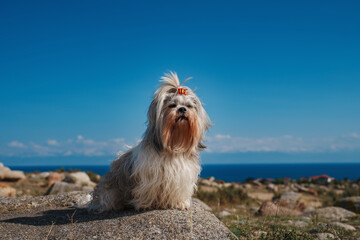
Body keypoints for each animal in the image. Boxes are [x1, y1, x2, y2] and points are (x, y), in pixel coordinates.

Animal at [89, 71, 211, 212]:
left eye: (189, 106)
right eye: (172, 105)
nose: (182, 109)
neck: (174, 144)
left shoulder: (182, 176)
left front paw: (180, 203)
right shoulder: (150, 176)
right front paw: (146, 204)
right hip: (111, 191)